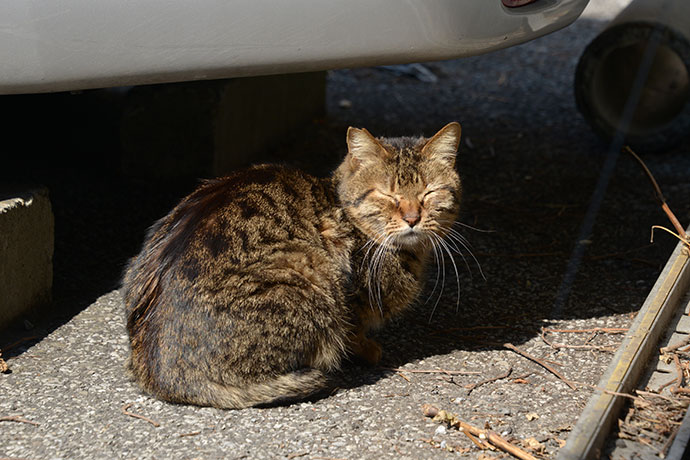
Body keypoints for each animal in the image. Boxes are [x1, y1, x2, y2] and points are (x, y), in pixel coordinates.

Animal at [123, 123, 462, 410]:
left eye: (429, 192)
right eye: (387, 194)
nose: (412, 218)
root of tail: (163, 376)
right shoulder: (350, 297)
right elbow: (354, 330)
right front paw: (367, 349)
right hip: (309, 270)